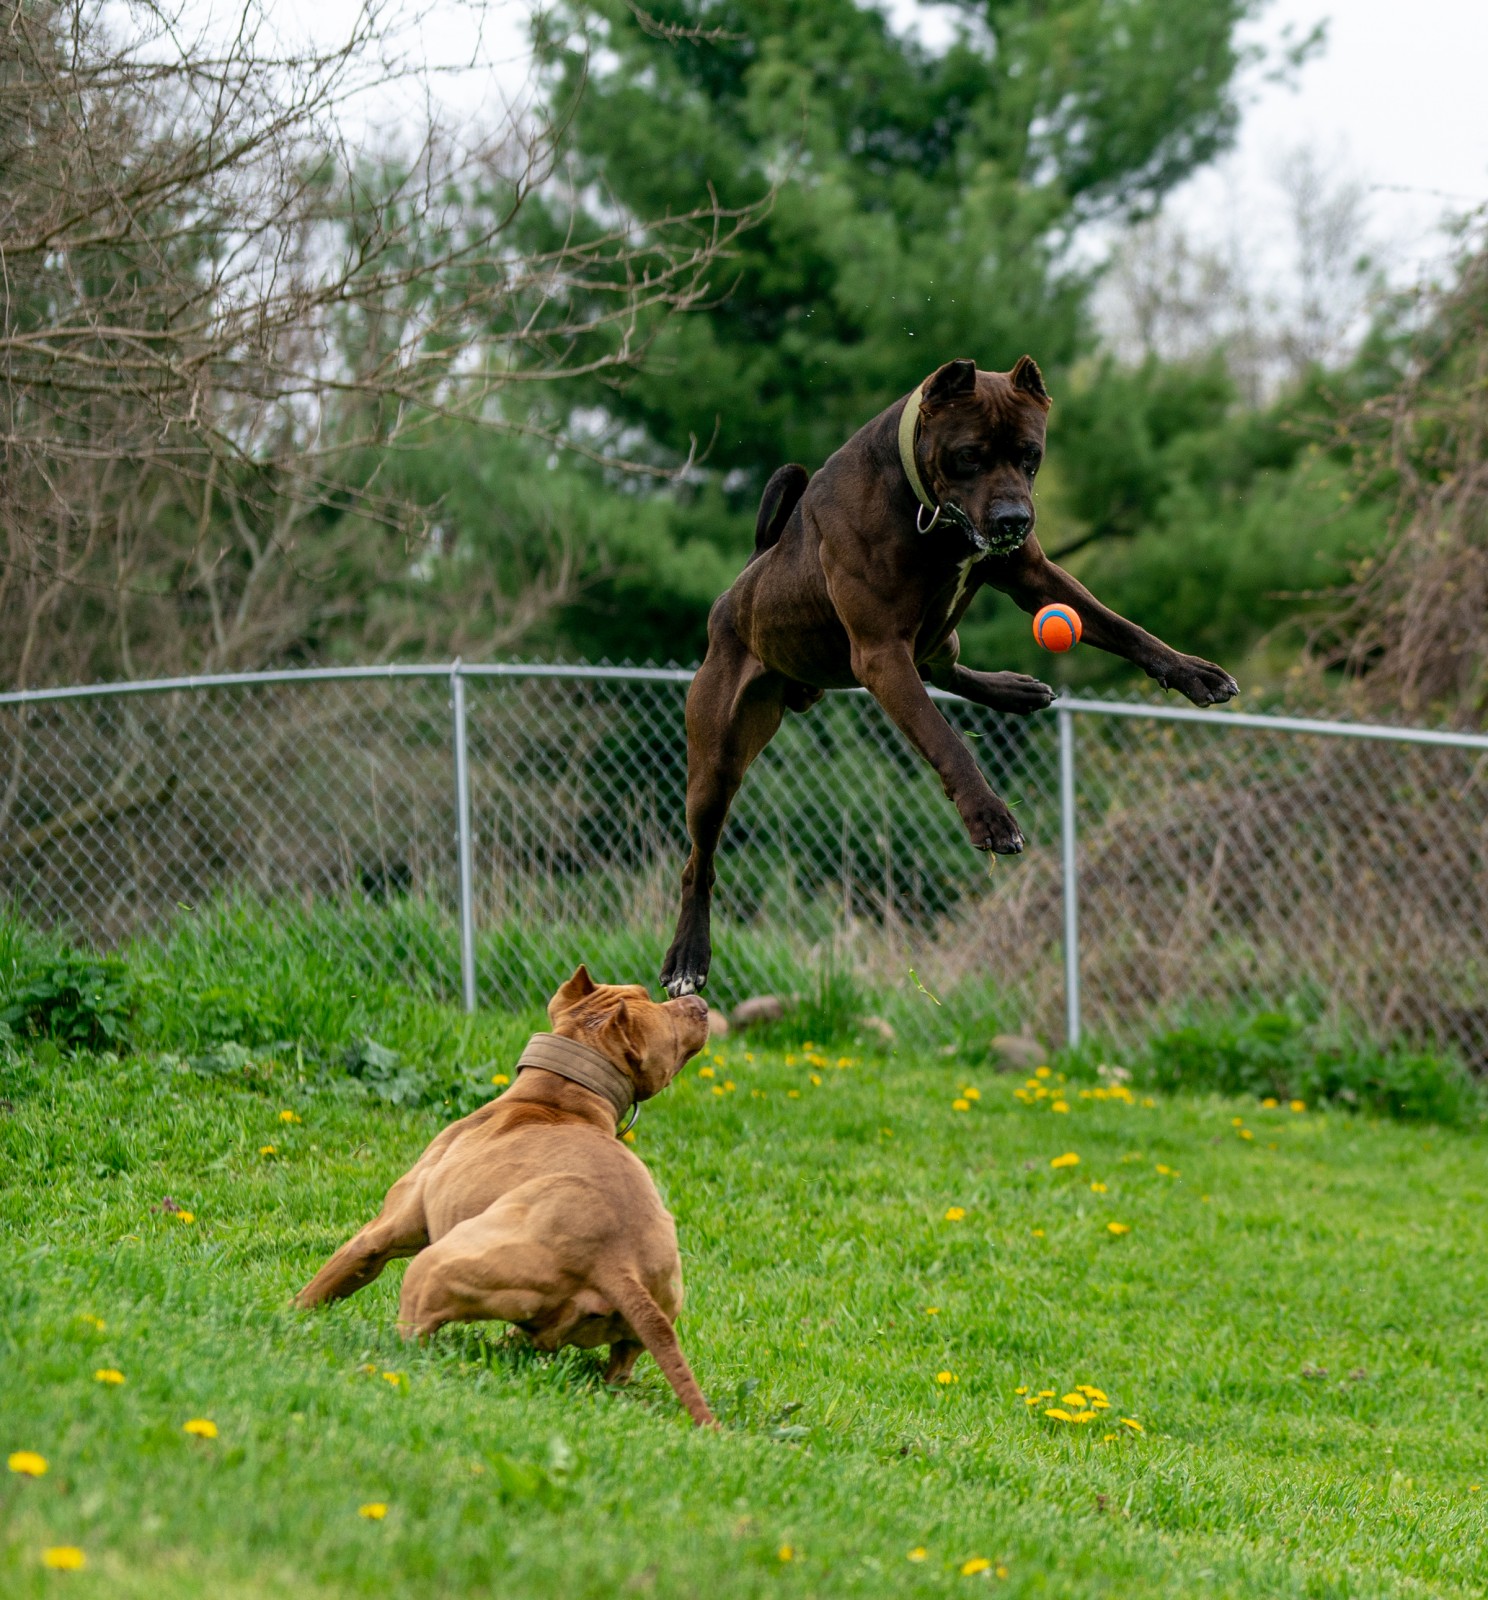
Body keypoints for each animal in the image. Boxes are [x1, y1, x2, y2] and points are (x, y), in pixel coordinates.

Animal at [291, 960, 720, 1427]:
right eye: (650, 998)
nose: (699, 1003)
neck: (558, 1097)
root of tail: (616, 1261)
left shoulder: (382, 1234)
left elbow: (327, 1280)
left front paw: (287, 1316)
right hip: (639, 1315)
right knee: (601, 1363)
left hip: (434, 1268)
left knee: (413, 1340)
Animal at [659, 356, 1228, 992]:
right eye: (969, 456)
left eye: (1030, 455)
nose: (1013, 519)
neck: (925, 506)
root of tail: (739, 586)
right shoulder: (883, 654)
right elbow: (945, 739)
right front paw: (989, 817)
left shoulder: (1033, 574)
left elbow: (1123, 627)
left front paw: (1192, 671)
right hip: (718, 760)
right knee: (698, 863)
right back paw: (687, 958)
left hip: (938, 635)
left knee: (946, 664)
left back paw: (1017, 690)